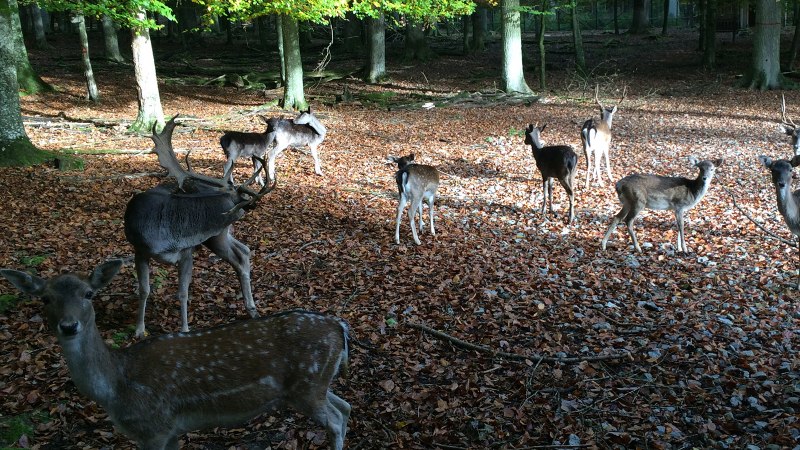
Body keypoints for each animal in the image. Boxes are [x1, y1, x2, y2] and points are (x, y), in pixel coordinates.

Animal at [0, 260, 350, 450]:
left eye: (89, 294)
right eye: (45, 298)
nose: (69, 325)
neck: (116, 387)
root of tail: (340, 326)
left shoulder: (154, 426)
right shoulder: (171, 430)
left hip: (307, 385)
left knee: (335, 419)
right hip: (315, 384)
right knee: (344, 407)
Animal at [123, 116, 276, 338]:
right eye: (237, 196)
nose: (250, 205)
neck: (165, 237)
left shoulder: (187, 250)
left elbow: (182, 292)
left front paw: (185, 329)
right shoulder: (139, 249)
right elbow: (144, 290)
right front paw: (139, 330)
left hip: (216, 235)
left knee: (241, 254)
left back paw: (252, 308)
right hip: (218, 236)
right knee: (243, 252)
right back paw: (252, 308)